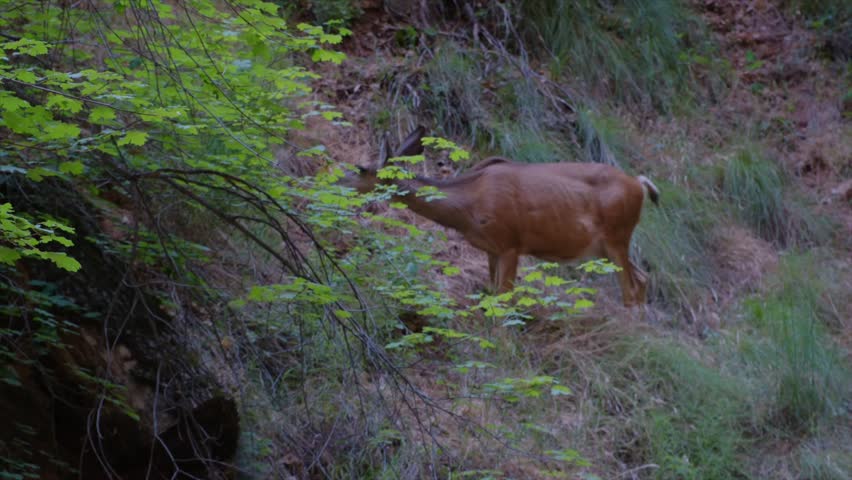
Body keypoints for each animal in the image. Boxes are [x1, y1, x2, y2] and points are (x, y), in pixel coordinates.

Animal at [339, 128, 659, 307]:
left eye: (360, 168)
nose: (337, 183)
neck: (468, 204)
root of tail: (639, 184)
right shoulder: (491, 249)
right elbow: (492, 294)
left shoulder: (511, 243)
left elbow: (505, 299)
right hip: (607, 247)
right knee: (643, 279)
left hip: (617, 235)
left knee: (630, 289)